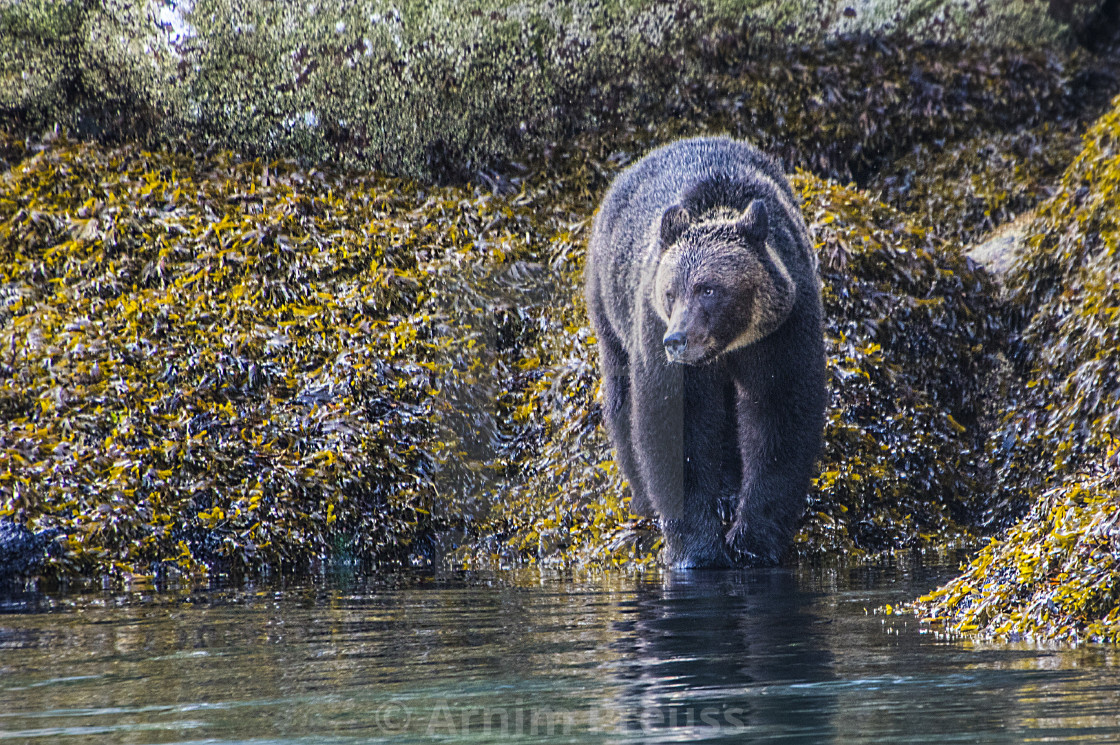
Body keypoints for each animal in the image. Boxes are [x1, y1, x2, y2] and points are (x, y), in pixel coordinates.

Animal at [582, 136, 828, 566]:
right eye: (670, 292)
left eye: (708, 288)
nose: (677, 339)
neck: (728, 345)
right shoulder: (656, 335)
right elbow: (676, 424)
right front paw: (696, 548)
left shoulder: (783, 332)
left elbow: (779, 416)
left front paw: (753, 539)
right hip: (610, 309)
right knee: (621, 398)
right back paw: (643, 498)